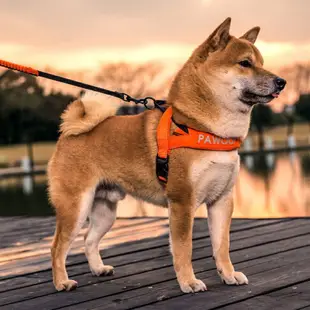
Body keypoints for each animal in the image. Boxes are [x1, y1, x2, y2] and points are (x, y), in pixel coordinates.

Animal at [47, 17, 286, 294]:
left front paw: (228, 275)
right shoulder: (182, 200)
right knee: (57, 247)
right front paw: (189, 282)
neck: (203, 127)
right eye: (245, 63)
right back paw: (62, 282)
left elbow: (222, 247)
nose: (282, 82)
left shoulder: (222, 200)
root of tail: (67, 134)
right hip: (75, 207)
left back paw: (98, 269)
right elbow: (184, 248)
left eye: (262, 63)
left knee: (89, 239)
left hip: (105, 210)